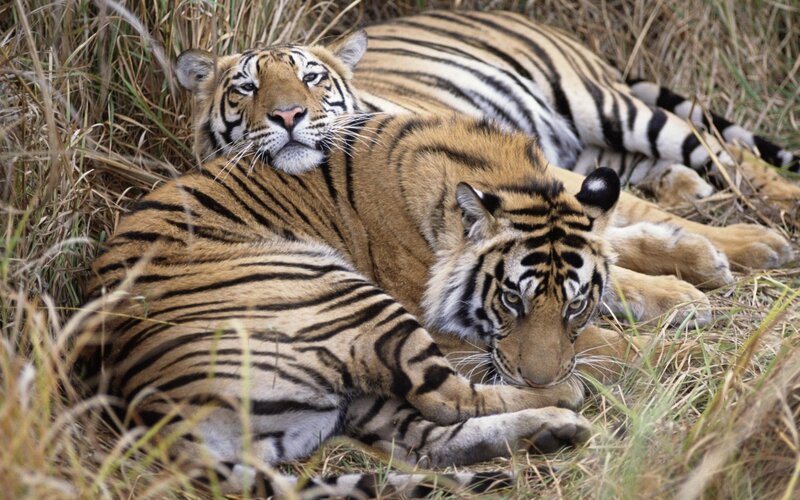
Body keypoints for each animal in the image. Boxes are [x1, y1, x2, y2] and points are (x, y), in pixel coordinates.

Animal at [354, 10, 800, 214]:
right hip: (585, 145)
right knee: (635, 162)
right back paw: (686, 186)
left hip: (601, 104)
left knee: (718, 147)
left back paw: (784, 200)